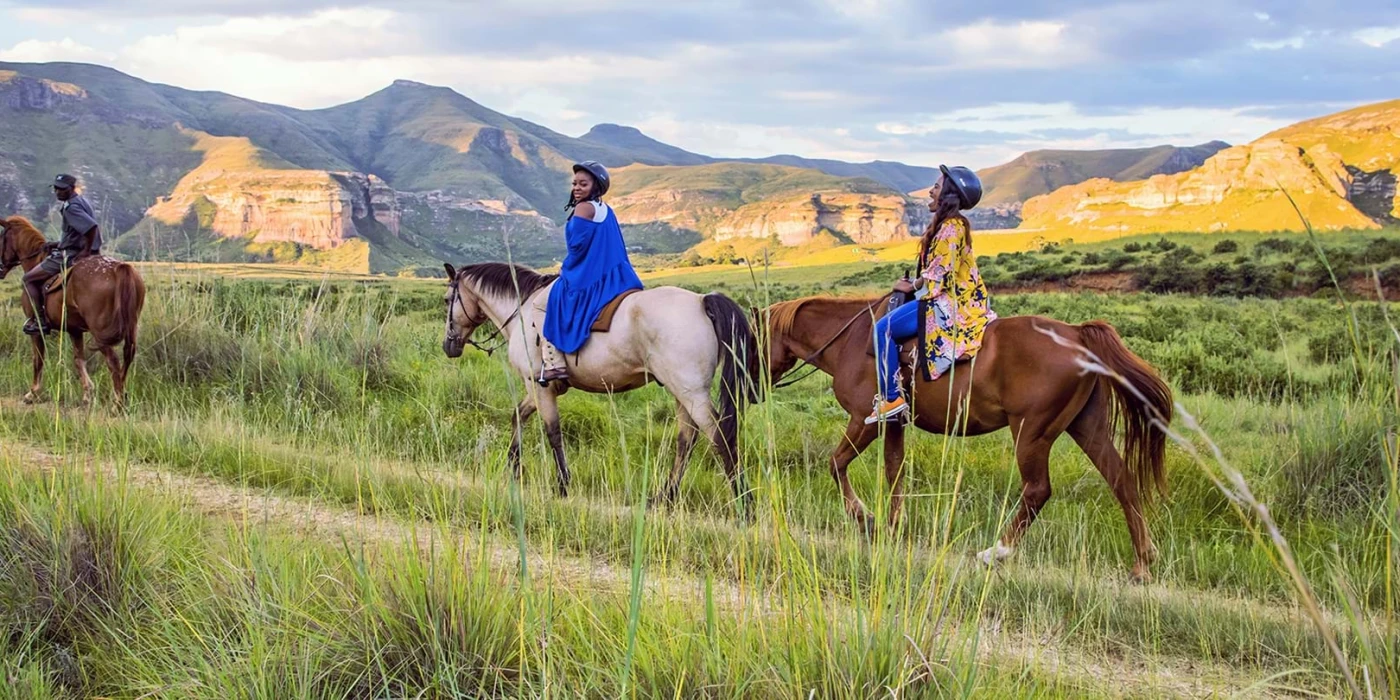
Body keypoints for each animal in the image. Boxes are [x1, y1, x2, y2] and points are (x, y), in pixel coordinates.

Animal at [0, 215, 144, 408]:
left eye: (1, 238)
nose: (0, 269)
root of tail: (120, 268)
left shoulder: (36, 331)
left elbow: (38, 360)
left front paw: (32, 393)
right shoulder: (75, 330)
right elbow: (78, 359)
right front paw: (87, 394)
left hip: (101, 333)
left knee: (113, 361)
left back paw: (117, 404)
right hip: (130, 327)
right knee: (127, 357)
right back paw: (121, 396)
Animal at [767, 298, 1170, 582]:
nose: (755, 388)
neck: (852, 339)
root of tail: (1077, 333)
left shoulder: (865, 421)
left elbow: (837, 464)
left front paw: (865, 518)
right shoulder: (894, 424)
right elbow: (895, 472)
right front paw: (892, 528)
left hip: (1032, 432)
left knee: (1038, 490)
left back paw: (996, 553)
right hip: (1087, 426)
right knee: (1121, 480)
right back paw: (1142, 563)